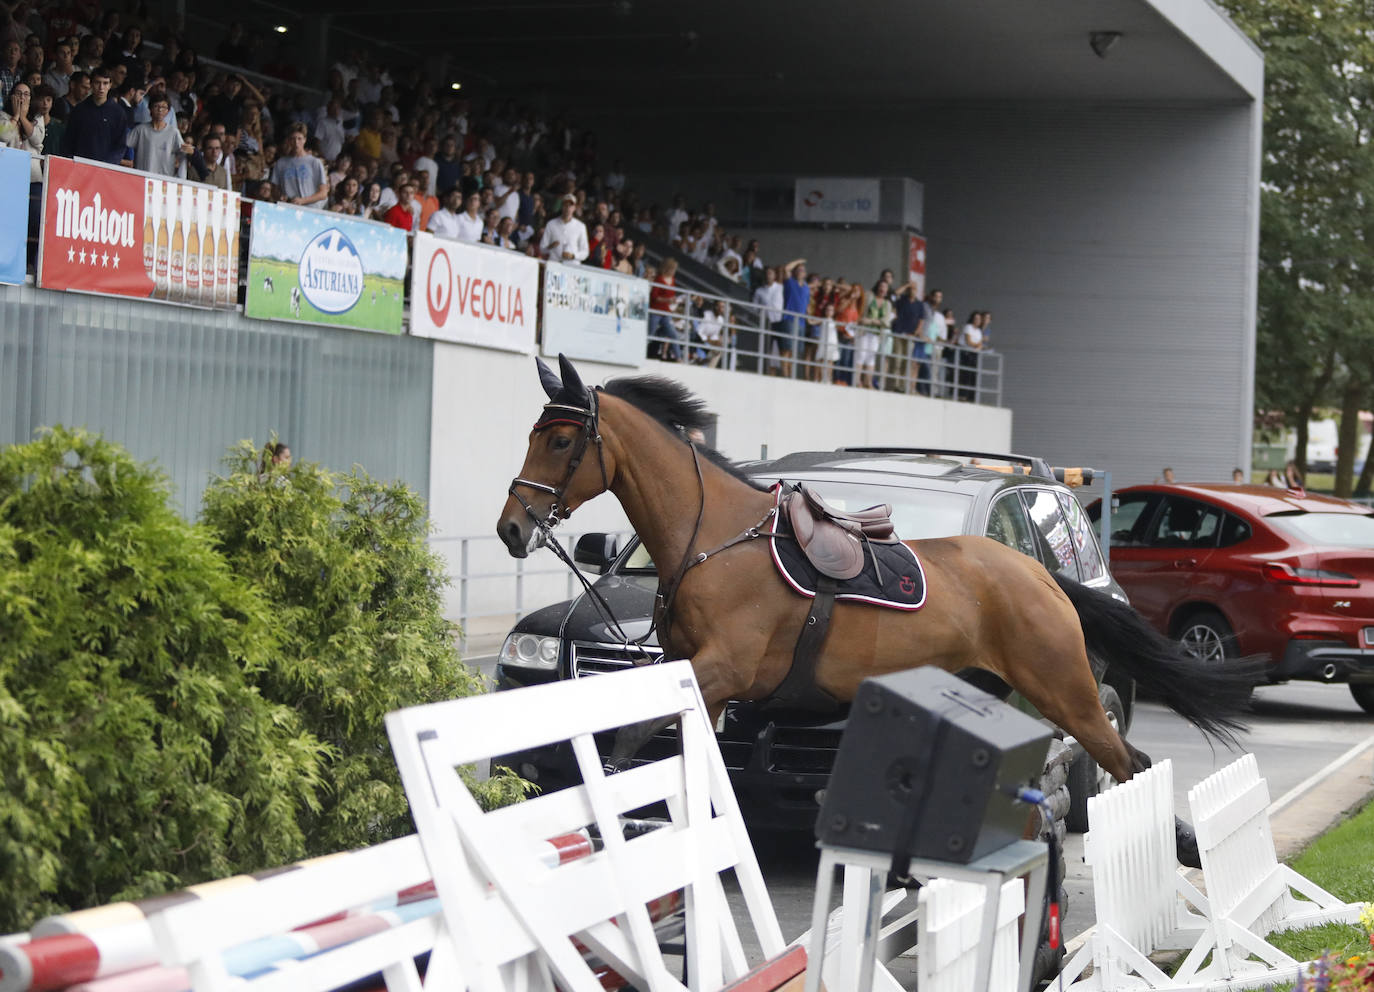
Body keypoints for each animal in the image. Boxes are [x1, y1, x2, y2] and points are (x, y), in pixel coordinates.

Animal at [502, 354, 1258, 857]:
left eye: (561, 440)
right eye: (534, 434)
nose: (512, 527)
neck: (714, 540)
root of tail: (1043, 575)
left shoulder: (725, 670)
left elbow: (632, 741)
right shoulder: (696, 677)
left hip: (1064, 688)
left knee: (1125, 762)